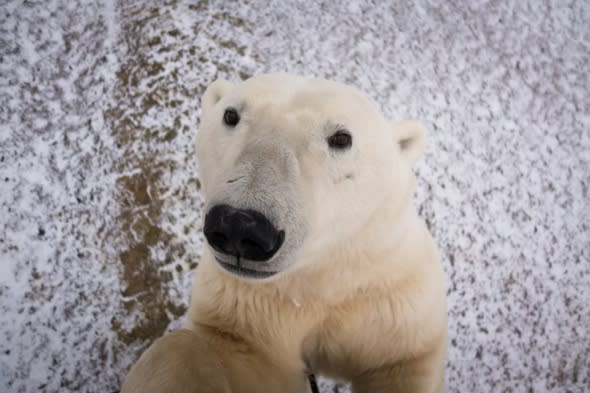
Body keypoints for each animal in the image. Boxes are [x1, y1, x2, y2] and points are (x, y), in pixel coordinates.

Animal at [121, 74, 448, 392]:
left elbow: (402, 361)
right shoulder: (250, 305)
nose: (239, 226)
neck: (315, 278)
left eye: (341, 138)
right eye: (231, 115)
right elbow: (223, 351)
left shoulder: (390, 307)